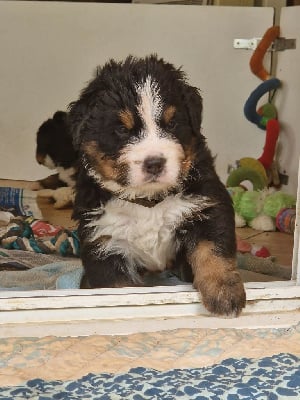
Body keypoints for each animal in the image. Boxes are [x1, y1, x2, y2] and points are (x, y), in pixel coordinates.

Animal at [68, 54, 246, 316]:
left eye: (171, 124)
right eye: (121, 129)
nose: (154, 163)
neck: (148, 201)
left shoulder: (208, 204)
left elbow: (213, 250)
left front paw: (224, 291)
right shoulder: (104, 242)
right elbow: (119, 290)